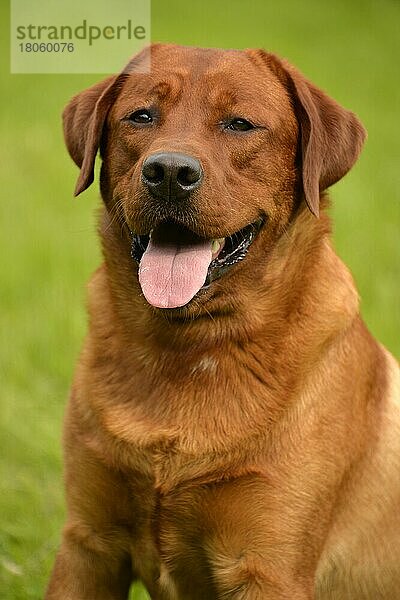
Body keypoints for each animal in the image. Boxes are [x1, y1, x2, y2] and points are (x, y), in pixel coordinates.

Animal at [45, 44, 398, 596]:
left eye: (240, 124)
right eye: (141, 116)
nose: (169, 172)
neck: (185, 349)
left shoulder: (268, 568)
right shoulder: (88, 544)